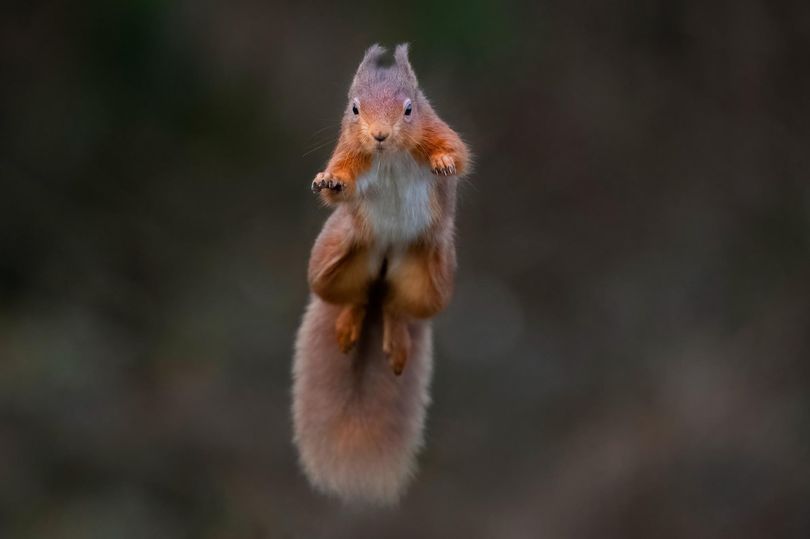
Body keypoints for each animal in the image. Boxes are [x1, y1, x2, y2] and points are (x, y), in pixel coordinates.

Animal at [292, 43, 470, 505]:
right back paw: (351, 321)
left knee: (395, 307)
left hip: (430, 276)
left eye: (410, 108)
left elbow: (458, 153)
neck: (388, 157)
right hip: (337, 254)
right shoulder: (348, 150)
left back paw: (394, 333)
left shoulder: (436, 129)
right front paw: (329, 182)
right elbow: (341, 180)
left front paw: (444, 162)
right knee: (355, 297)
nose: (379, 136)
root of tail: (387, 255)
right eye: (354, 108)